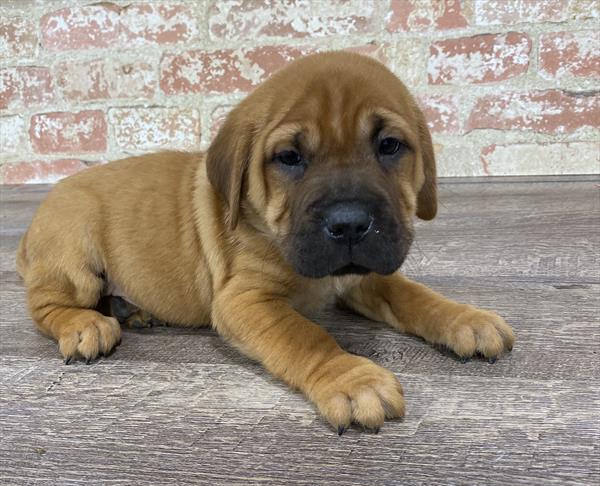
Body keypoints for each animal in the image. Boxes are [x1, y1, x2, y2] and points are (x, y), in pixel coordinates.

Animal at [18, 52, 516, 432]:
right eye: (289, 158)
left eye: (390, 146)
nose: (350, 223)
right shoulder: (244, 299)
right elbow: (306, 336)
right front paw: (352, 380)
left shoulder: (367, 273)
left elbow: (413, 295)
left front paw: (465, 319)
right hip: (75, 253)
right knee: (47, 306)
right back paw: (85, 325)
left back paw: (135, 309)